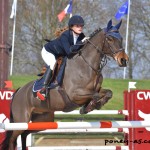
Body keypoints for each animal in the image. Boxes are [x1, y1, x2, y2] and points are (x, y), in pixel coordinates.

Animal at [0, 19, 129, 149]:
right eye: (109, 38)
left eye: (121, 38)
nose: (123, 60)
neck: (87, 66)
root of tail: (18, 91)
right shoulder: (74, 95)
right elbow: (95, 95)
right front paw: (89, 107)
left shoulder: (96, 89)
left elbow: (108, 93)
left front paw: (95, 105)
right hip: (21, 120)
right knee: (12, 139)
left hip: (43, 120)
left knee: (24, 134)